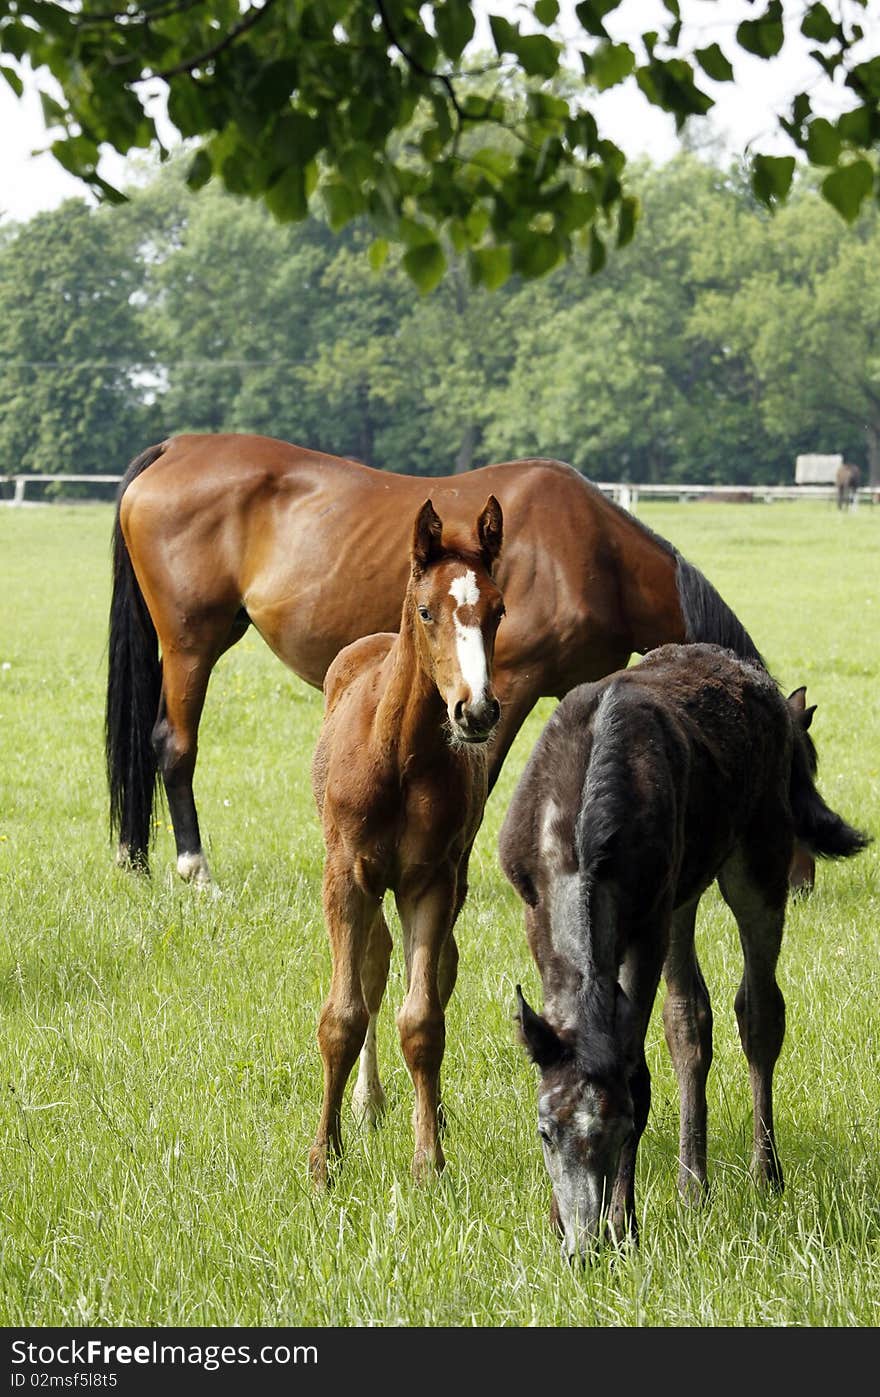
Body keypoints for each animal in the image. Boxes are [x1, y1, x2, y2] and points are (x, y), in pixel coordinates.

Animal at [108, 427, 815, 882]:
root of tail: (177, 448)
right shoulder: (507, 686)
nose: (799, 878)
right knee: (174, 744)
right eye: (792, 775)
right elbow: (487, 771)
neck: (594, 553)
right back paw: (193, 868)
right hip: (191, 644)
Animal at [310, 491, 505, 1179]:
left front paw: (428, 1162)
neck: (397, 754)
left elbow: (423, 1019)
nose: (476, 711)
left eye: (499, 610)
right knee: (372, 967)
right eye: (427, 611)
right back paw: (368, 1104)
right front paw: (324, 1159)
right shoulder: (347, 876)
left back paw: (430, 1113)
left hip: (451, 880)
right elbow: (342, 1015)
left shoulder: (430, 881)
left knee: (439, 971)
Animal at [500, 648, 871, 1262]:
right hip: (683, 895)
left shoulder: (648, 922)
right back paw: (692, 1188)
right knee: (690, 1021)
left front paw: (625, 1226)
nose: (583, 1247)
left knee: (759, 1011)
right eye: (544, 1131)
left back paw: (765, 1175)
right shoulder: (537, 914)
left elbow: (639, 1073)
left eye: (623, 1128)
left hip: (758, 861)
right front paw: (557, 1223)